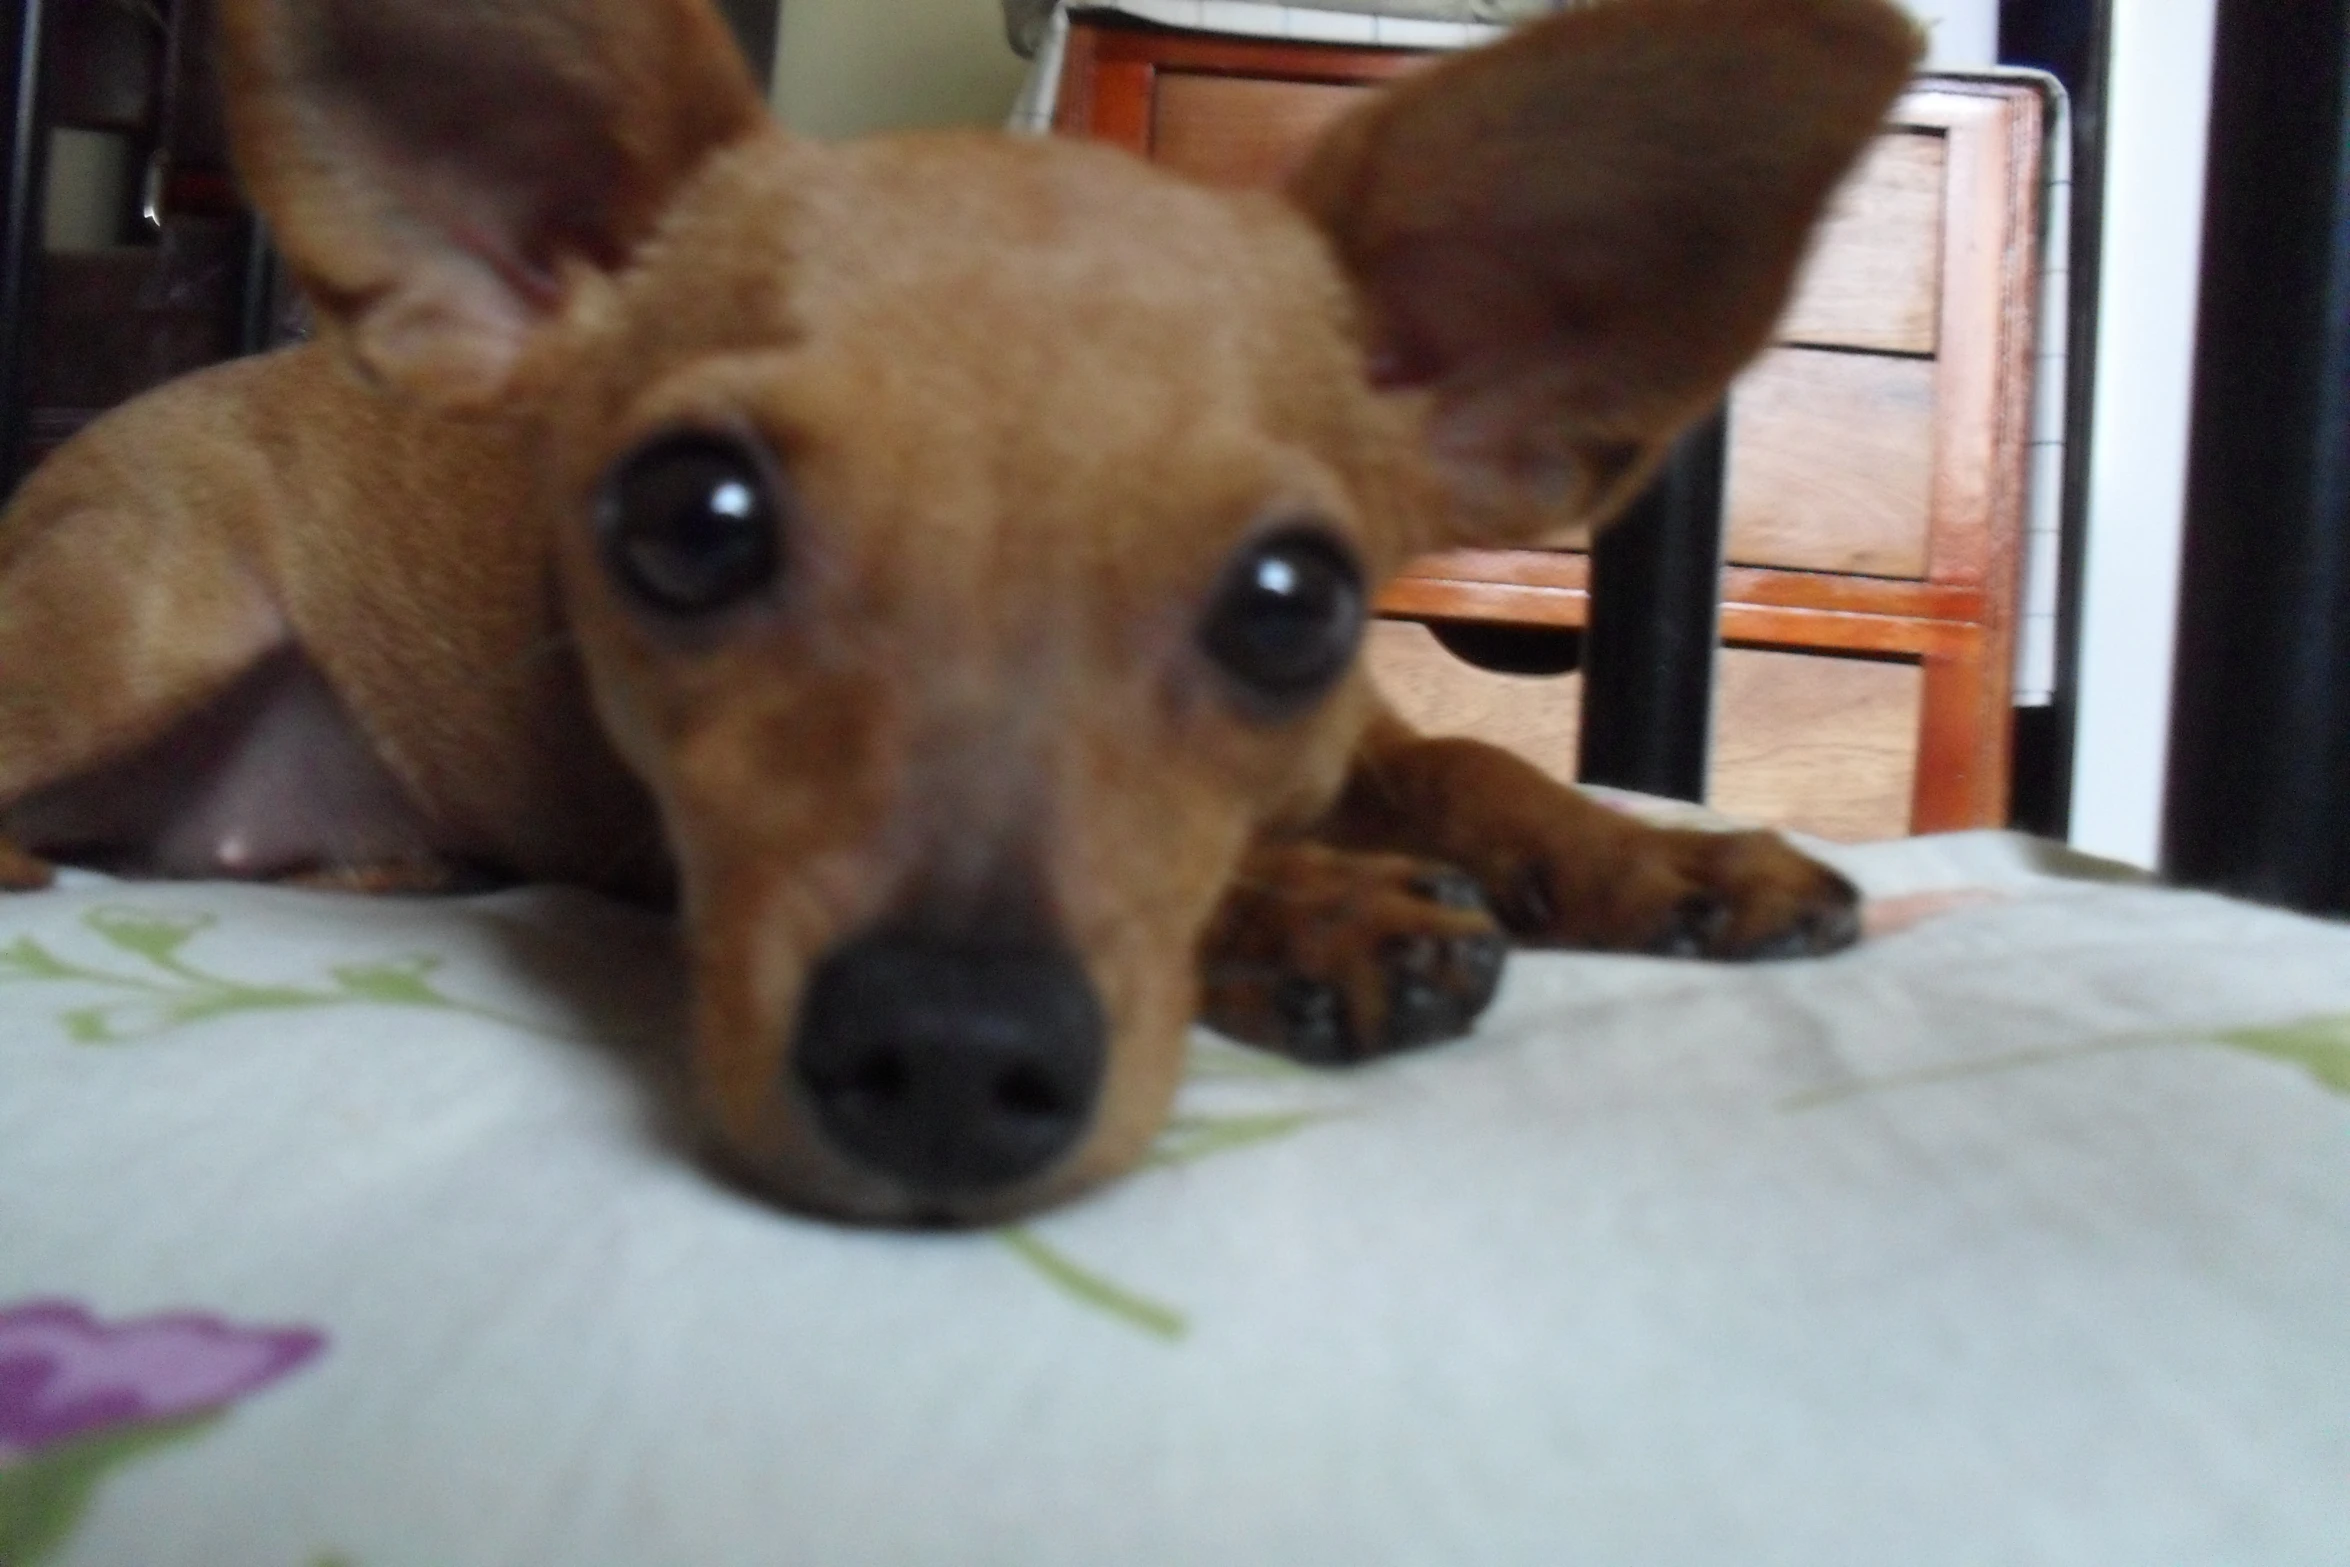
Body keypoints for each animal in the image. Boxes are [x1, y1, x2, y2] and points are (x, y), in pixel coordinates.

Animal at [0, 0, 1908, 1221]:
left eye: (1292, 604)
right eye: (689, 524)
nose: (947, 1054)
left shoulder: (1366, 733)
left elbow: (1484, 770)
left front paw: (1671, 860)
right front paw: (1319, 909)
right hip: (140, 619)